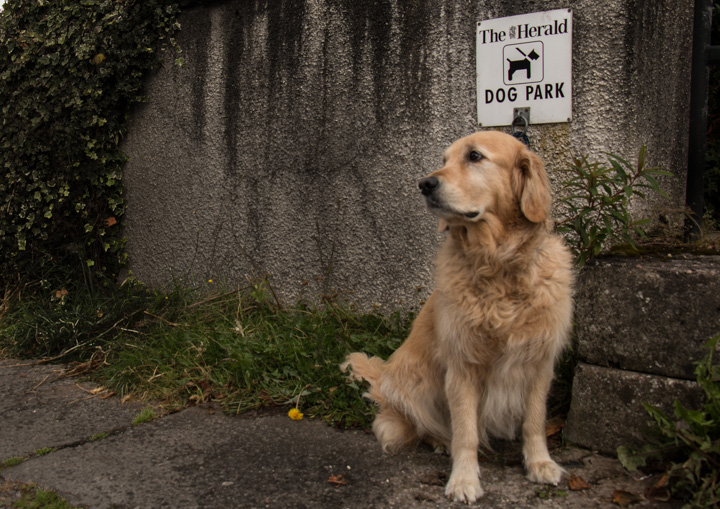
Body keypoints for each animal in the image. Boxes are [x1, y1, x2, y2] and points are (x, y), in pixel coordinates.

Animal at [342, 130, 572, 500]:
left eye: (475, 156)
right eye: (444, 159)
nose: (424, 184)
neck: (497, 263)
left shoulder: (539, 360)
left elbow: (534, 422)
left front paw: (540, 464)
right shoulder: (462, 365)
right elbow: (465, 431)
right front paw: (464, 479)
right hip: (415, 381)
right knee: (417, 425)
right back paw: (440, 441)